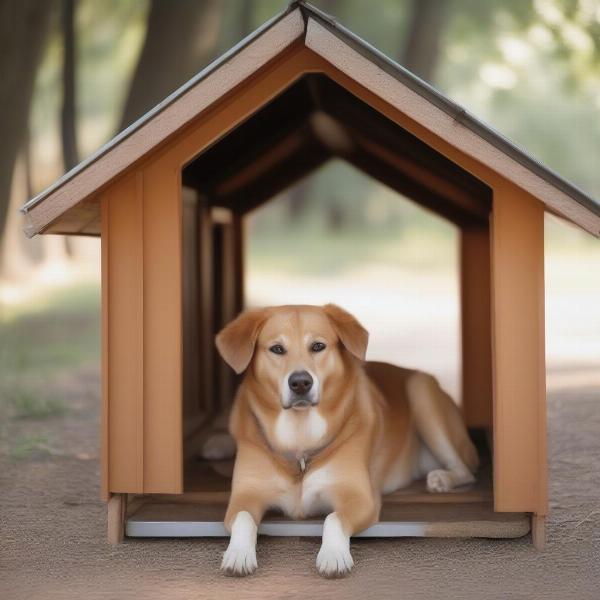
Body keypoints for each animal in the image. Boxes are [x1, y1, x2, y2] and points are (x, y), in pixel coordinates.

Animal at [211, 304, 478, 576]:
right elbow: (243, 518)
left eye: (318, 346)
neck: (300, 437)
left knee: (466, 470)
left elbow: (333, 518)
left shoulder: (360, 497)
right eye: (277, 349)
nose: (300, 382)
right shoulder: (245, 495)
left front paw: (333, 555)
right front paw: (238, 553)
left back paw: (442, 478)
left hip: (421, 392)